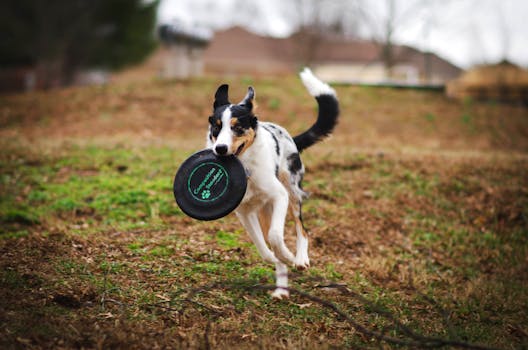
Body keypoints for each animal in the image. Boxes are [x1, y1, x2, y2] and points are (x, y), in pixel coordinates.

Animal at [205, 68, 338, 298]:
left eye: (237, 128)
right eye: (216, 127)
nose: (220, 149)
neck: (246, 168)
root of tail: (290, 137)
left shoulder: (279, 196)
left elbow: (276, 236)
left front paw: (290, 256)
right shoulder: (244, 212)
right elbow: (263, 246)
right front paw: (278, 258)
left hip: (292, 192)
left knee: (302, 229)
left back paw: (300, 259)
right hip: (264, 210)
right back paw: (281, 289)